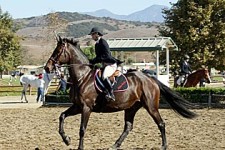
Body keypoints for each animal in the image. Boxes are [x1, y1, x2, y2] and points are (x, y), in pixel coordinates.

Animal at [44, 36, 197, 150]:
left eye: (57, 51)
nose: (47, 68)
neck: (82, 77)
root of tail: (150, 78)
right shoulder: (77, 106)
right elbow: (62, 116)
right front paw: (66, 139)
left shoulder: (86, 108)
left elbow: (82, 129)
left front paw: (79, 147)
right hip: (131, 107)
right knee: (128, 127)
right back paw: (115, 145)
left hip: (151, 106)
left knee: (161, 123)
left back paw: (164, 146)